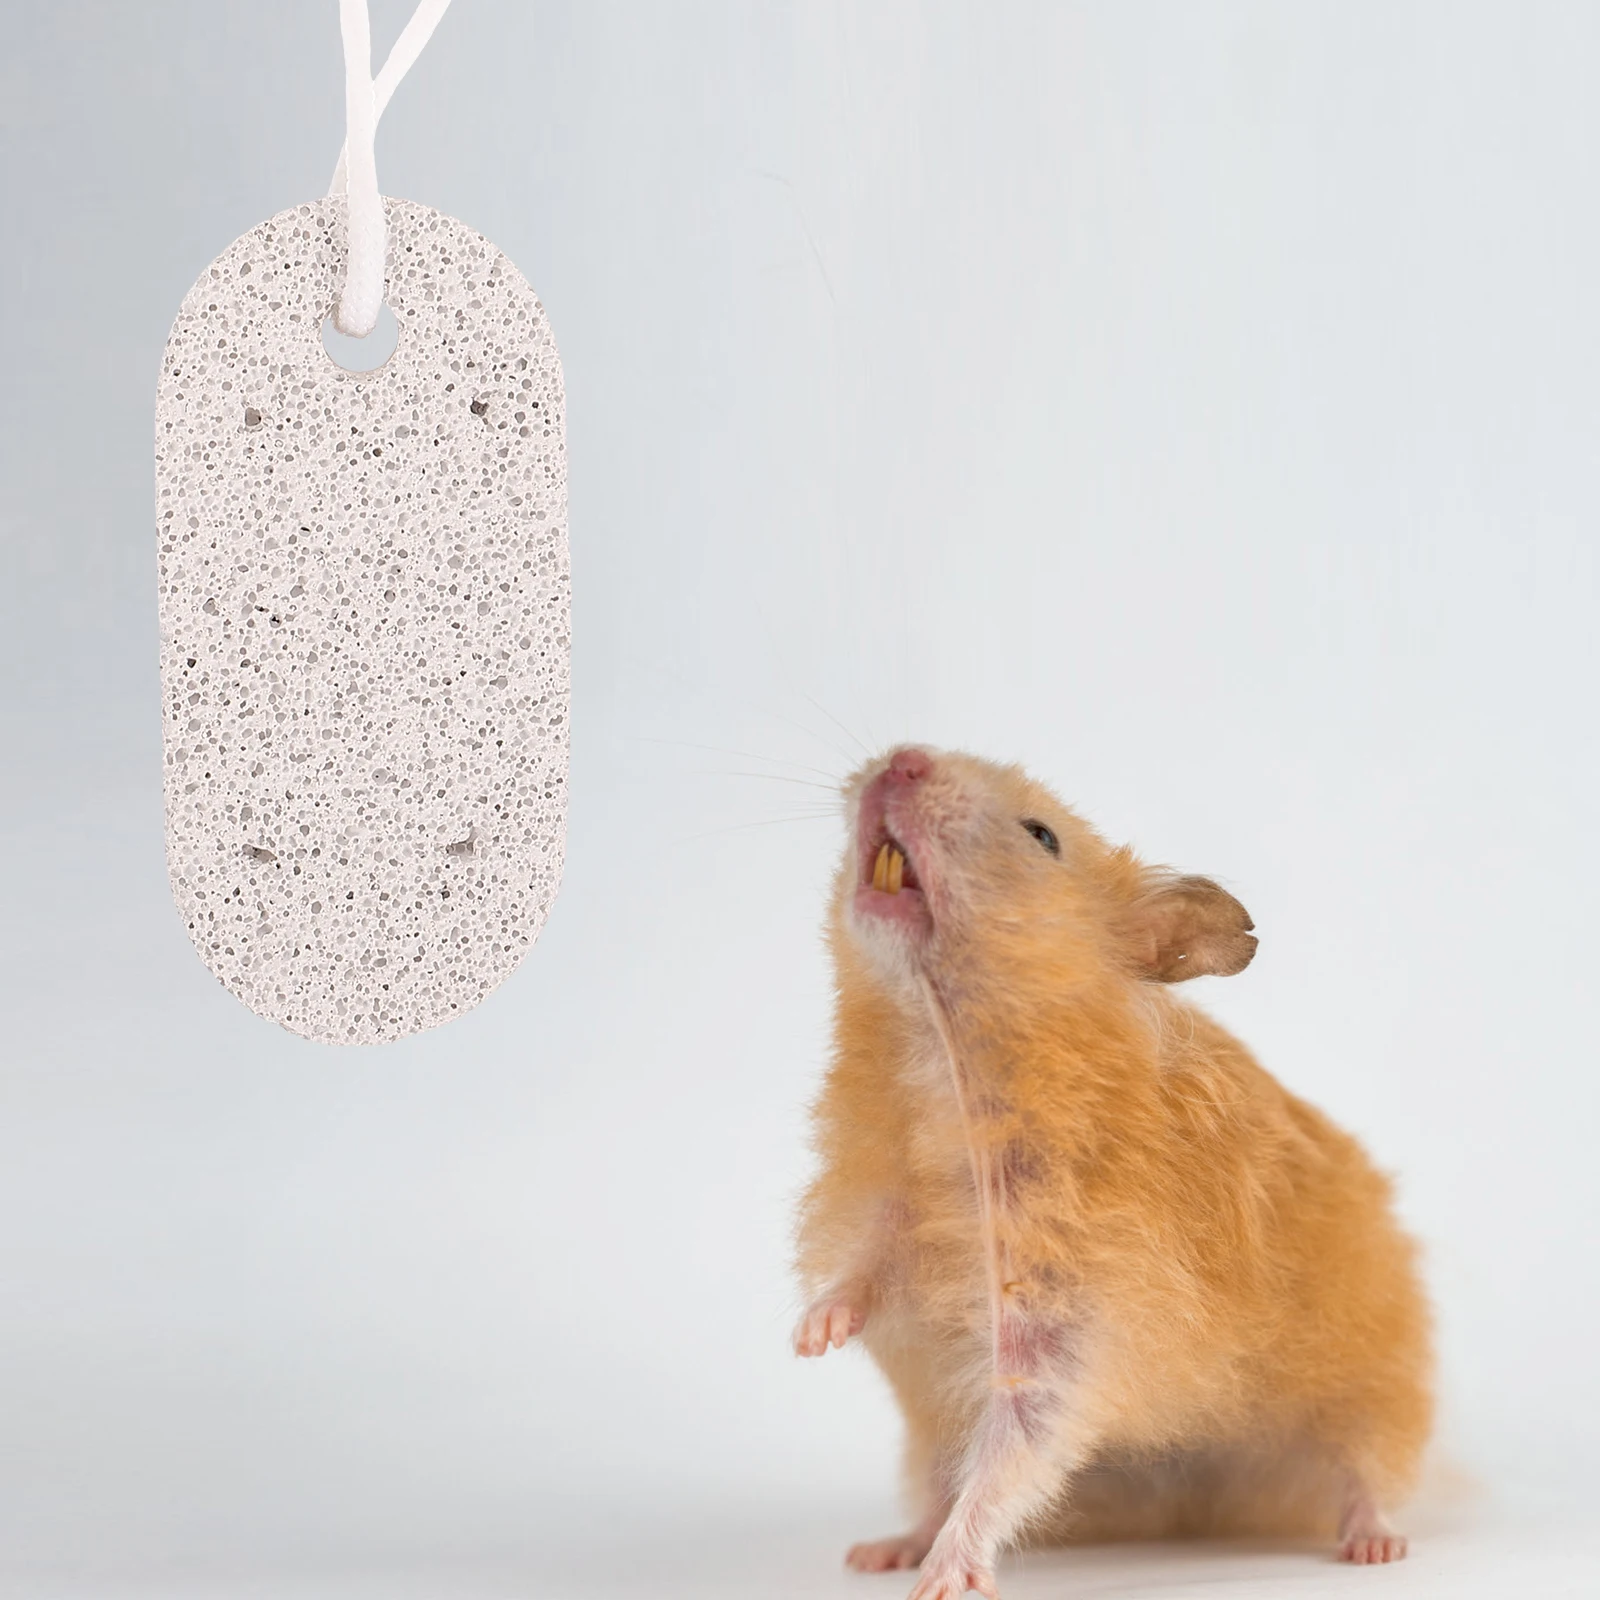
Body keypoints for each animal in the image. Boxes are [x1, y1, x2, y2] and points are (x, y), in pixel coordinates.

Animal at [794, 747, 1432, 1599]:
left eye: (1041, 835)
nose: (902, 760)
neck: (944, 1058)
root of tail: (1192, 1511)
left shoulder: (1066, 1319)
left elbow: (1015, 1446)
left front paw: (944, 1581)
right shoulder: (892, 1203)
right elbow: (863, 1268)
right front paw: (810, 1339)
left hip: (1371, 1387)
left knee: (1365, 1473)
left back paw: (1373, 1547)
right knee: (935, 1486)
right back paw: (881, 1550)